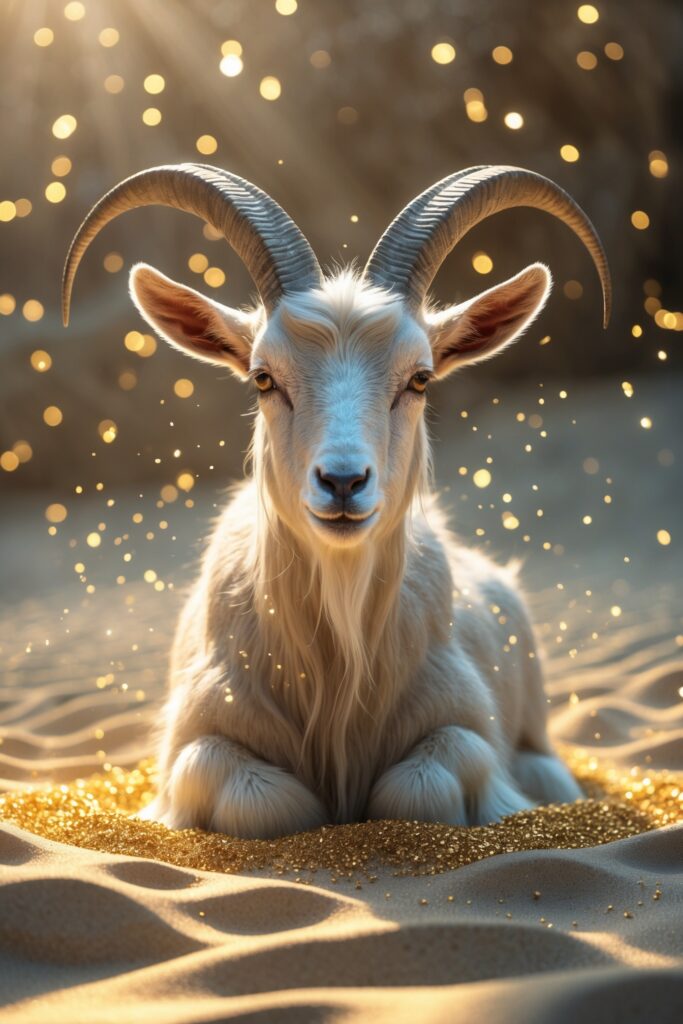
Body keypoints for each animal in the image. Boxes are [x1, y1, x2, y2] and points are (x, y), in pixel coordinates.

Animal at [63, 164, 611, 838]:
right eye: (263, 377)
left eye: (420, 378)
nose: (344, 482)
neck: (337, 668)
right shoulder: (195, 742)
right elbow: (266, 801)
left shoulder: (464, 727)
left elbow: (419, 789)